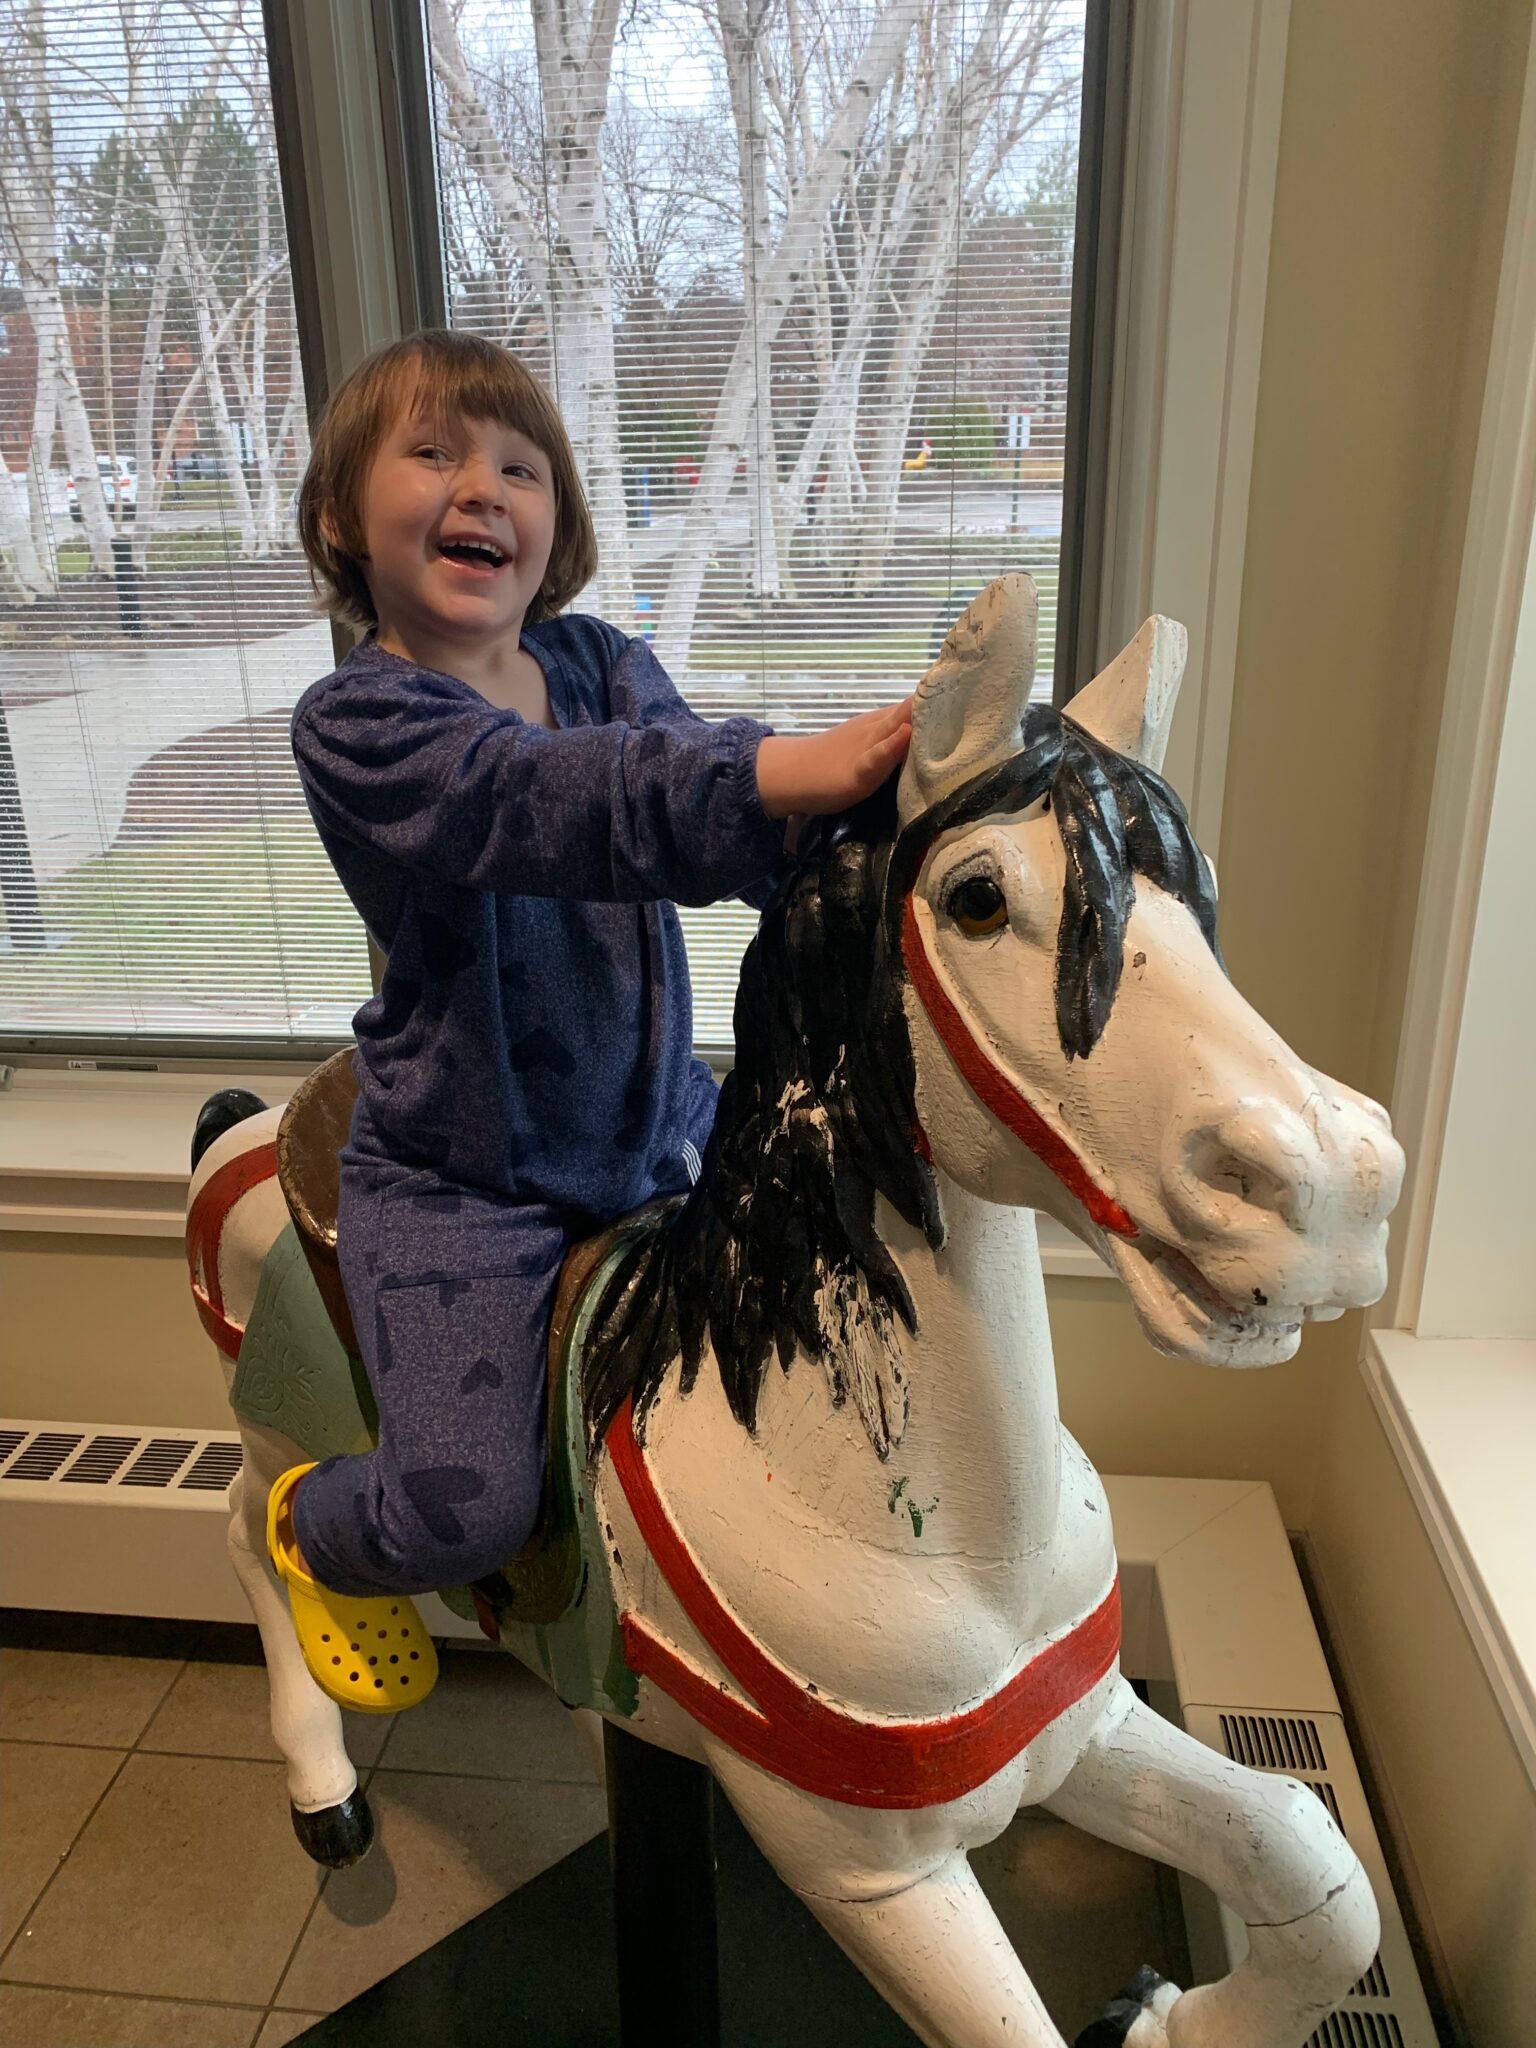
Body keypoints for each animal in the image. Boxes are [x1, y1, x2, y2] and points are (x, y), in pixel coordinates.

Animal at [183, 573, 1409, 2048]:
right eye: (979, 897)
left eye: (1200, 887)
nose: (1334, 1183)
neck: (940, 1545)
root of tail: (259, 1120)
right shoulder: (868, 1866)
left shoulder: (1077, 1725)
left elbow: (1310, 1860)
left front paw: (1165, 2015)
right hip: (293, 1426)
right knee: (261, 1522)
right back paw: (330, 1774)